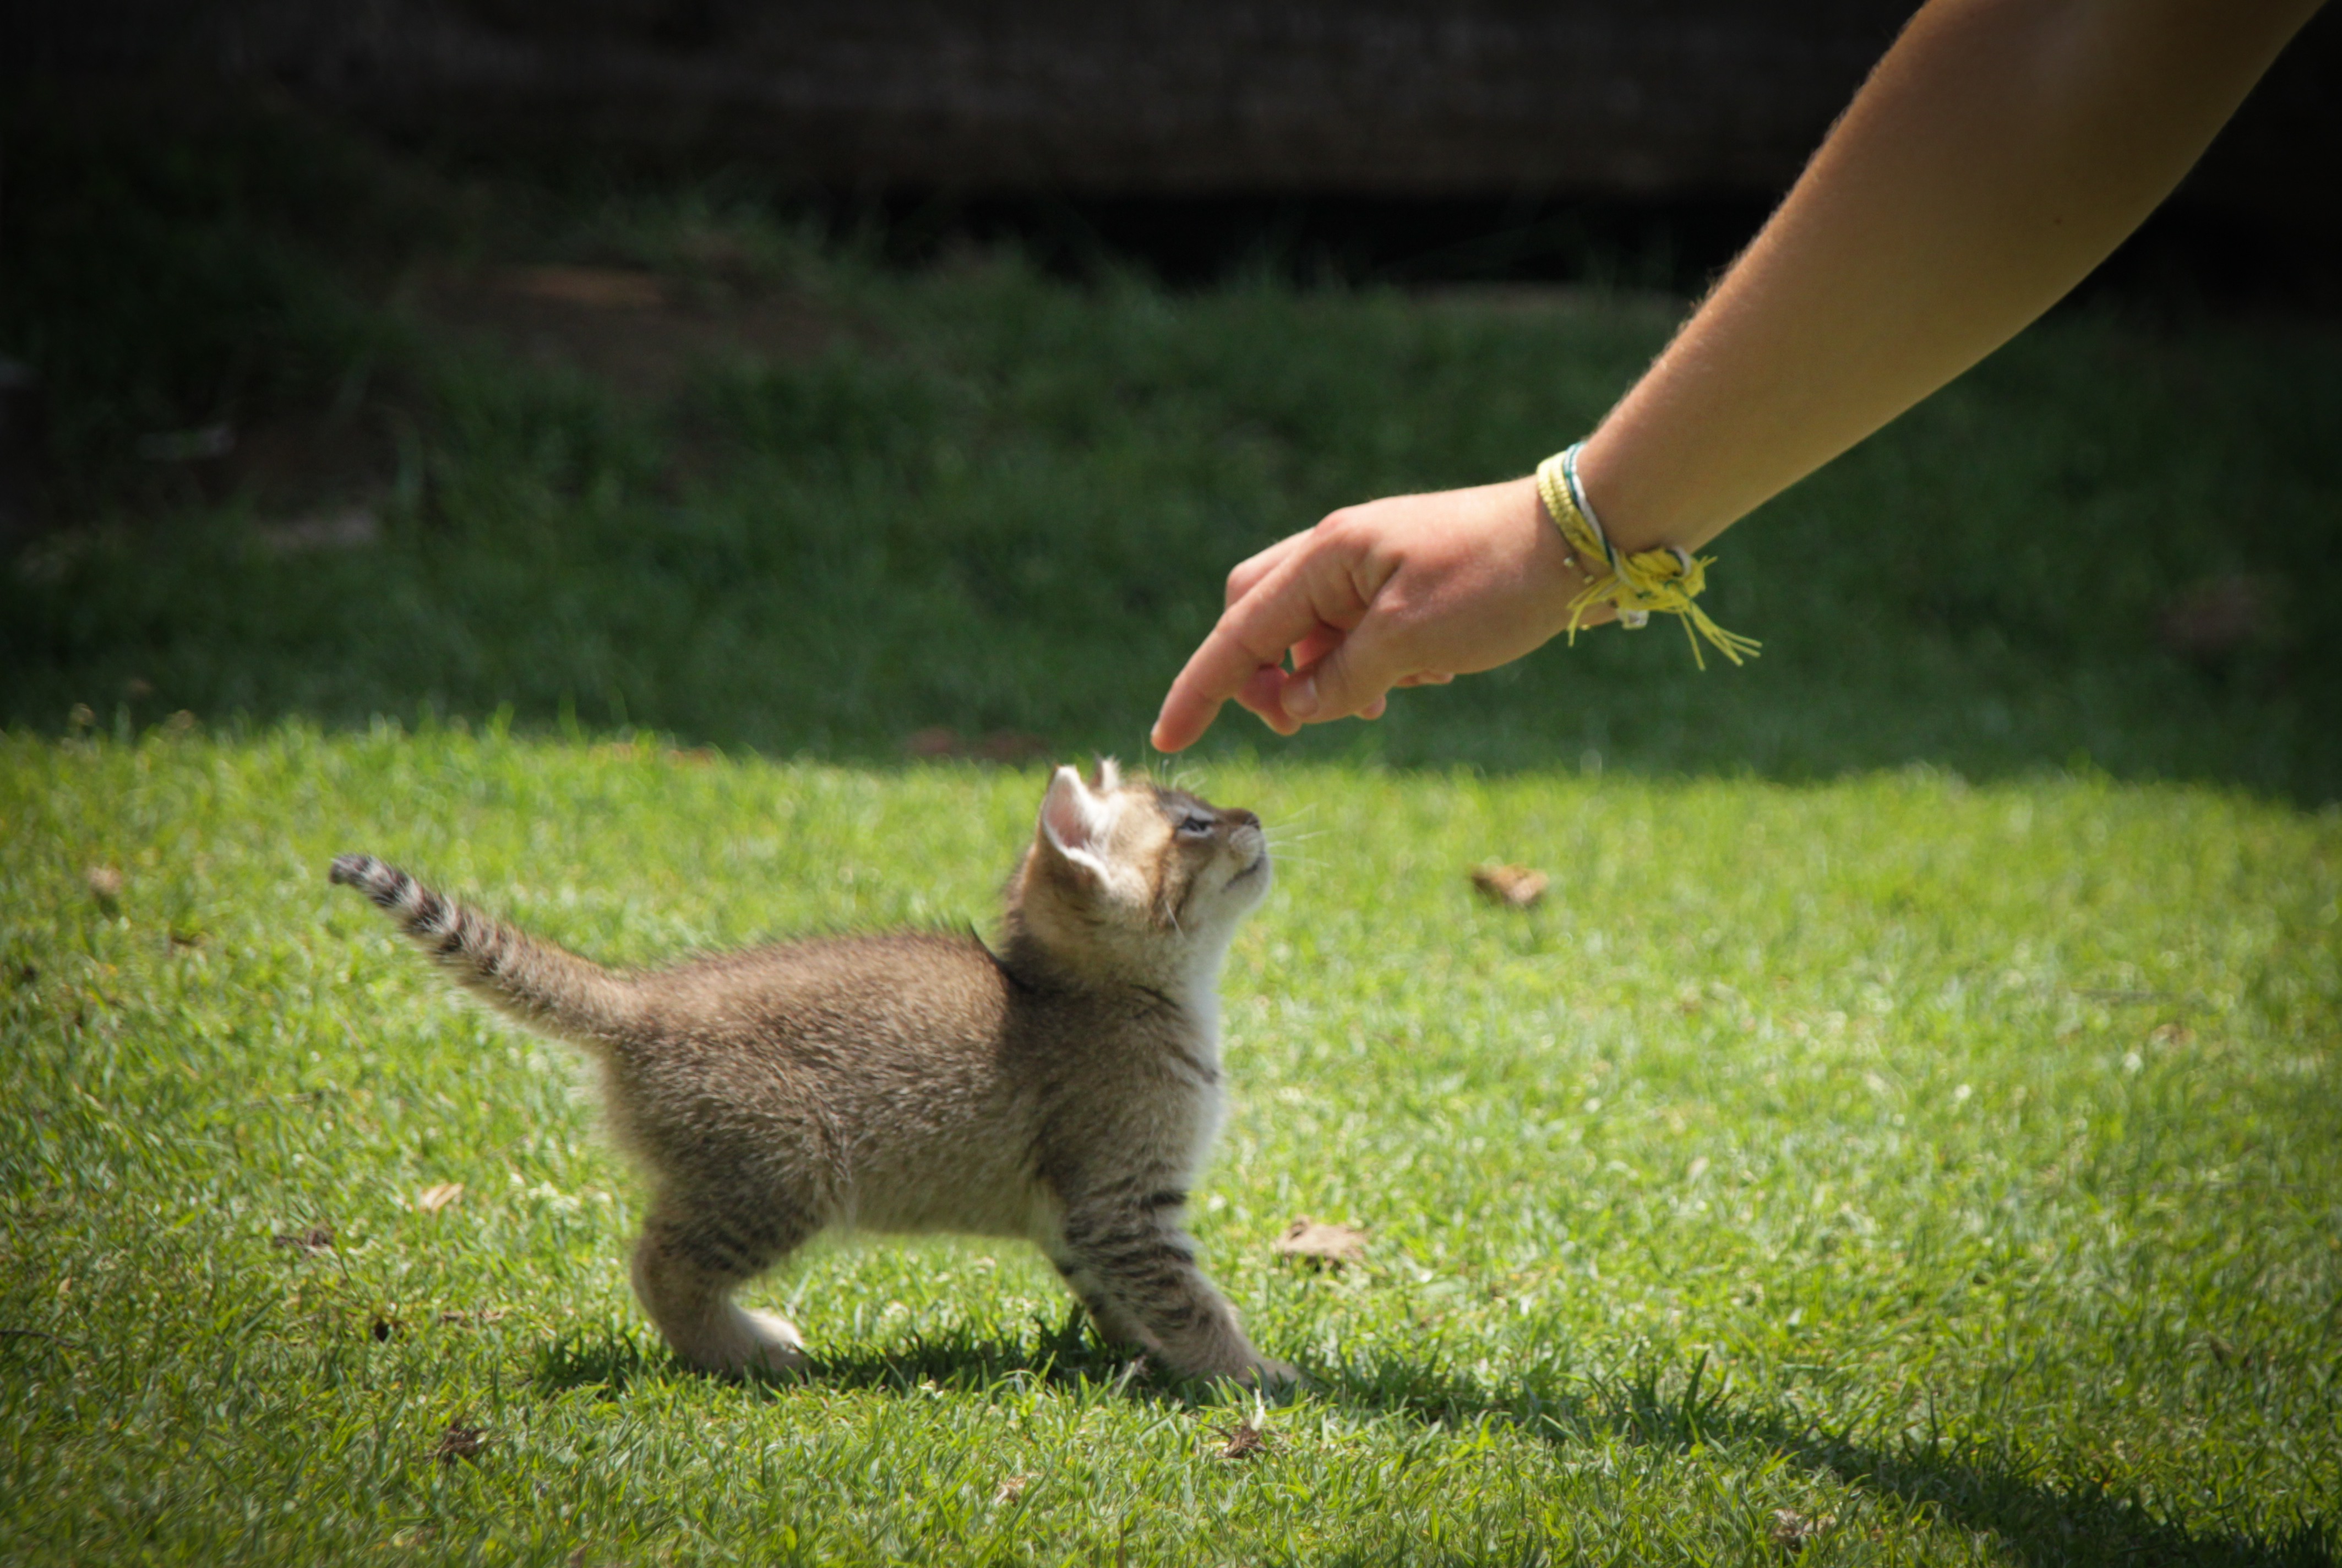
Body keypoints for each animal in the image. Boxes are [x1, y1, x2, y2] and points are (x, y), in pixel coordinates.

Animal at [329, 759, 1294, 1386]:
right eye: (1193, 824)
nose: (1253, 816)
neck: (1105, 994)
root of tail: (640, 1001)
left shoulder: (1078, 1218)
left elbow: (1123, 1299)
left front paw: (1154, 1358)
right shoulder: (1123, 1201)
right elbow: (1189, 1298)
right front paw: (1248, 1372)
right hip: (786, 1170)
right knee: (658, 1267)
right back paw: (749, 1351)